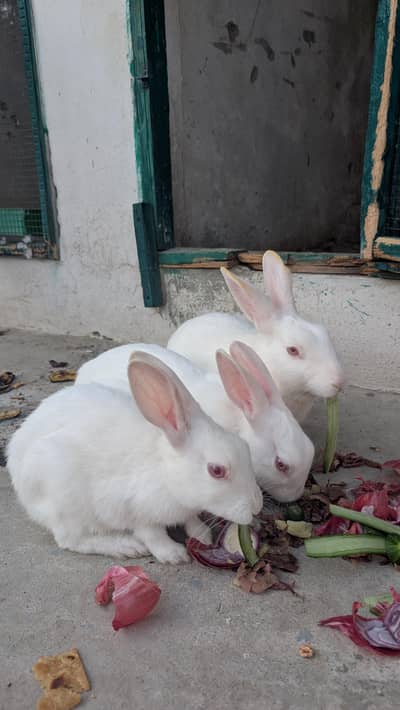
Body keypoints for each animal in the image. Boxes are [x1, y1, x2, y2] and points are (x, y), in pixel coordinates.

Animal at [7, 351, 262, 564]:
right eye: (217, 470)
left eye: (244, 447)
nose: (256, 507)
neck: (166, 471)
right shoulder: (135, 510)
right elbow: (152, 534)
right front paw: (174, 555)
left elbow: (191, 520)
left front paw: (203, 536)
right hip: (66, 501)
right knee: (71, 540)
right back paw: (126, 547)